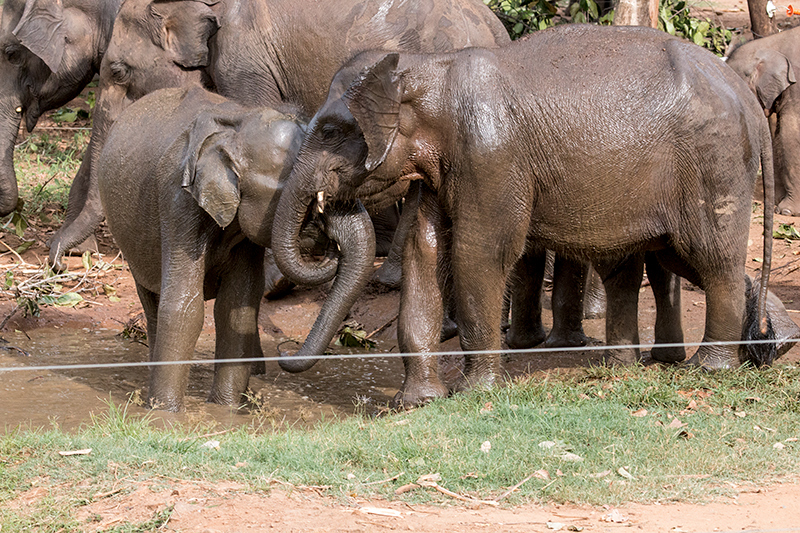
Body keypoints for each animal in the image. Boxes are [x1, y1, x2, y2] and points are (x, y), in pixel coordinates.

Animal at [97, 86, 376, 412]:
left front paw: (227, 409)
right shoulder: (177, 201)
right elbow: (184, 305)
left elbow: (237, 305)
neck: (238, 128)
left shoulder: (245, 233)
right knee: (151, 299)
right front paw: (166, 413)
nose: (284, 353)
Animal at [272, 23, 780, 408]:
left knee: (709, 258)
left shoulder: (490, 155)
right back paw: (643, 362)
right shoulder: (441, 173)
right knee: (661, 260)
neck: (429, 67)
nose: (280, 354)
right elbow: (425, 251)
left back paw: (709, 368)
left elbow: (479, 254)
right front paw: (414, 403)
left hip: (713, 162)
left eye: (331, 131)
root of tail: (745, 95)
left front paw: (474, 394)